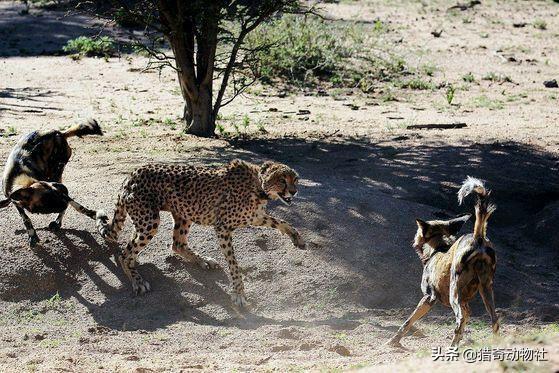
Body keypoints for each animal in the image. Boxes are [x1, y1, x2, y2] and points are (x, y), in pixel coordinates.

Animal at [96, 158, 306, 306]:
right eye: (282, 180)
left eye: (295, 179)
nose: (294, 191)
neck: (259, 186)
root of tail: (132, 174)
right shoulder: (222, 227)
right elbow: (233, 263)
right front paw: (238, 292)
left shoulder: (254, 217)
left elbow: (281, 221)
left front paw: (297, 238)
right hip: (150, 221)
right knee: (125, 254)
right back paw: (137, 279)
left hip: (184, 212)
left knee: (177, 244)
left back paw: (202, 260)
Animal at [390, 177, 498, 346]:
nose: (413, 241)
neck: (438, 248)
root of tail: (478, 238)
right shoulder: (465, 303)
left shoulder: (428, 298)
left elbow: (407, 322)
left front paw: (392, 342)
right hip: (486, 289)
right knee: (495, 320)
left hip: (454, 293)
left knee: (460, 319)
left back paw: (452, 347)